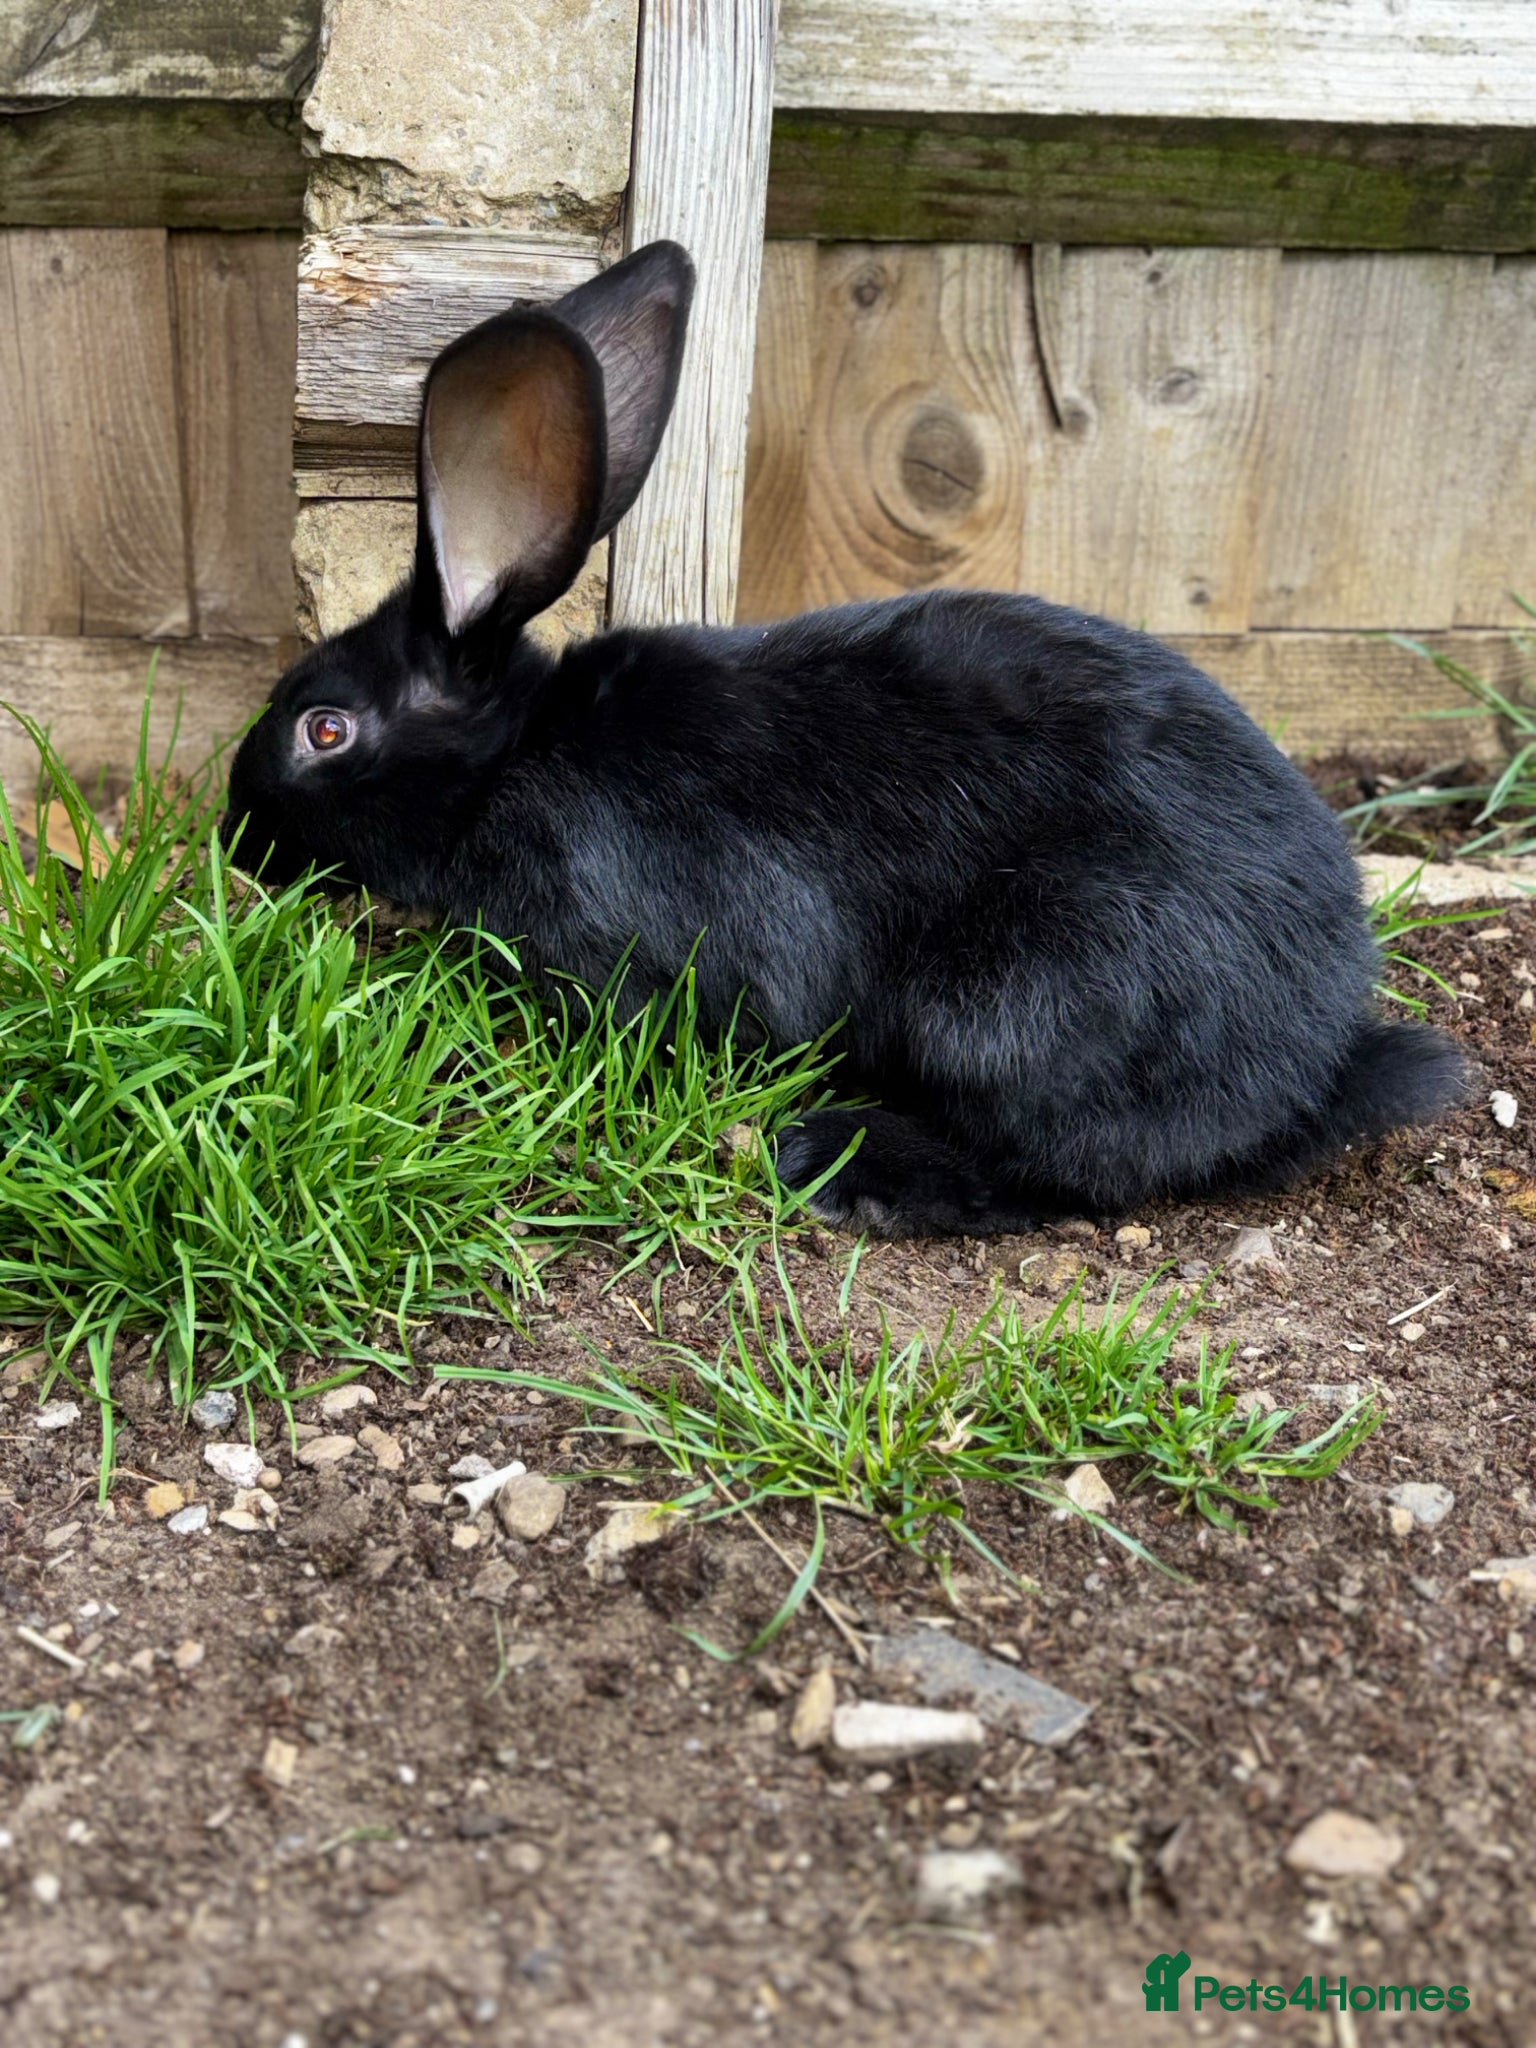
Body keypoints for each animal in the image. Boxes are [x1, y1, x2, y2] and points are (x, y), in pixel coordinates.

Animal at [222, 239, 1469, 1238]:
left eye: (323, 728)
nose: (237, 835)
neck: (516, 759)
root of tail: (1304, 1063)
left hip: (1013, 1002)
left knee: (1060, 1171)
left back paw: (834, 1161)